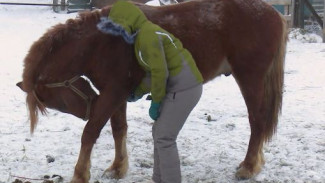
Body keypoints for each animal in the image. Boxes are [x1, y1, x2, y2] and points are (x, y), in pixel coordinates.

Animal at [17, 0, 286, 182]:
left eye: (55, 103)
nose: (88, 108)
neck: (103, 42)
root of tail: (273, 13)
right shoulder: (116, 95)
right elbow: (119, 129)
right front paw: (117, 168)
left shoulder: (111, 94)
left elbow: (90, 132)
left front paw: (80, 174)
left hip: (249, 78)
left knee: (257, 121)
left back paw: (248, 166)